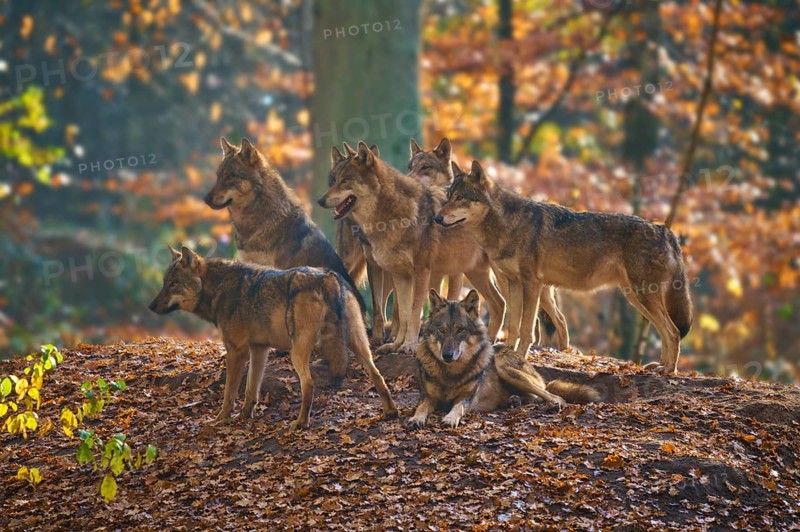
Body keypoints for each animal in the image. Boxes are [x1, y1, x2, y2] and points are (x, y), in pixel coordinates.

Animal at [148, 246, 398, 430]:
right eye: (164, 283)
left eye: (173, 284)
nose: (150, 306)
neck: (218, 288)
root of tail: (327, 276)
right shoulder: (259, 349)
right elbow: (251, 389)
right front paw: (244, 416)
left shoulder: (236, 350)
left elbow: (229, 392)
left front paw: (221, 419)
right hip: (358, 345)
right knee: (377, 375)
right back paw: (390, 412)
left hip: (297, 352)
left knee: (309, 384)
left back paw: (300, 423)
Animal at [318, 141, 506, 354]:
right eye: (334, 181)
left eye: (346, 181)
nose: (320, 201)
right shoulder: (400, 275)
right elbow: (404, 312)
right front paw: (396, 345)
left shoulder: (422, 271)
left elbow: (415, 310)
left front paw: (409, 345)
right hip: (475, 273)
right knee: (500, 304)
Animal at [407, 138, 567, 349]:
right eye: (410, 167)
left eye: (425, 167)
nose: (407, 178)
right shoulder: (434, 271)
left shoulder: (454, 273)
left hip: (509, 279)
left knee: (552, 318)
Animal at [408, 289, 599, 428]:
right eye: (441, 331)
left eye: (460, 330)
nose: (447, 355)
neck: (450, 373)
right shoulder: (427, 397)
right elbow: (421, 407)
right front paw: (416, 419)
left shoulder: (466, 397)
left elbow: (458, 407)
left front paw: (450, 418)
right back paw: (515, 400)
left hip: (504, 368)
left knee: (553, 396)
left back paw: (550, 403)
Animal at [435, 161, 693, 374]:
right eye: (448, 196)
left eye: (460, 198)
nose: (437, 218)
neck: (506, 225)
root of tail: (665, 230)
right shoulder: (515, 283)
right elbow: (514, 324)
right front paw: (507, 353)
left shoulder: (532, 283)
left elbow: (527, 329)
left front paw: (520, 357)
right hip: (635, 297)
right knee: (666, 331)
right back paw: (659, 365)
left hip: (643, 295)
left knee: (673, 331)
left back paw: (668, 370)